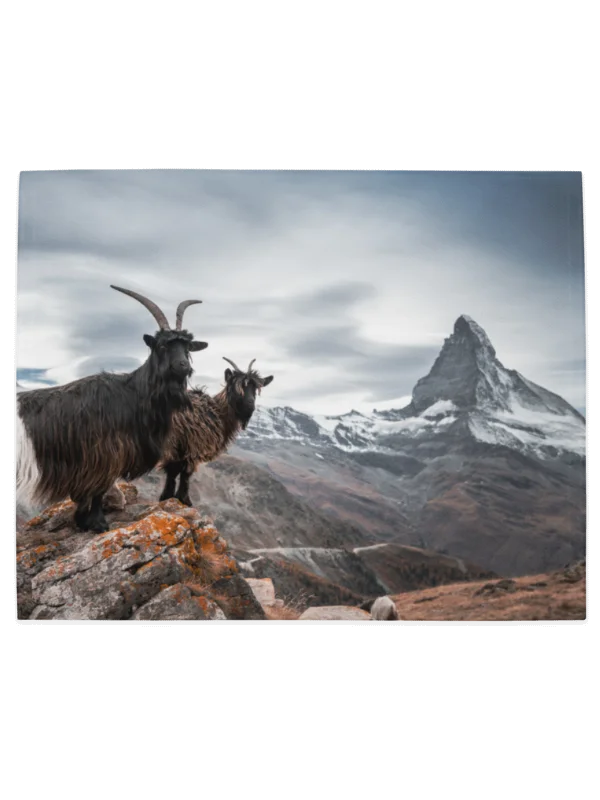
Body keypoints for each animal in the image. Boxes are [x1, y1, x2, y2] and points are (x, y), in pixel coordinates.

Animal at [15, 285, 209, 533]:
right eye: (162, 345)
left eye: (187, 348)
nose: (183, 366)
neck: (132, 394)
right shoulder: (104, 455)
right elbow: (98, 491)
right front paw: (97, 523)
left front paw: (82, 521)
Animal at [158, 356, 274, 506]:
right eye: (236, 387)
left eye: (255, 389)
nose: (250, 406)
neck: (217, 412)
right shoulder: (190, 445)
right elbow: (182, 472)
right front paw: (182, 499)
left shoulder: (182, 447)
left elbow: (175, 471)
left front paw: (171, 497)